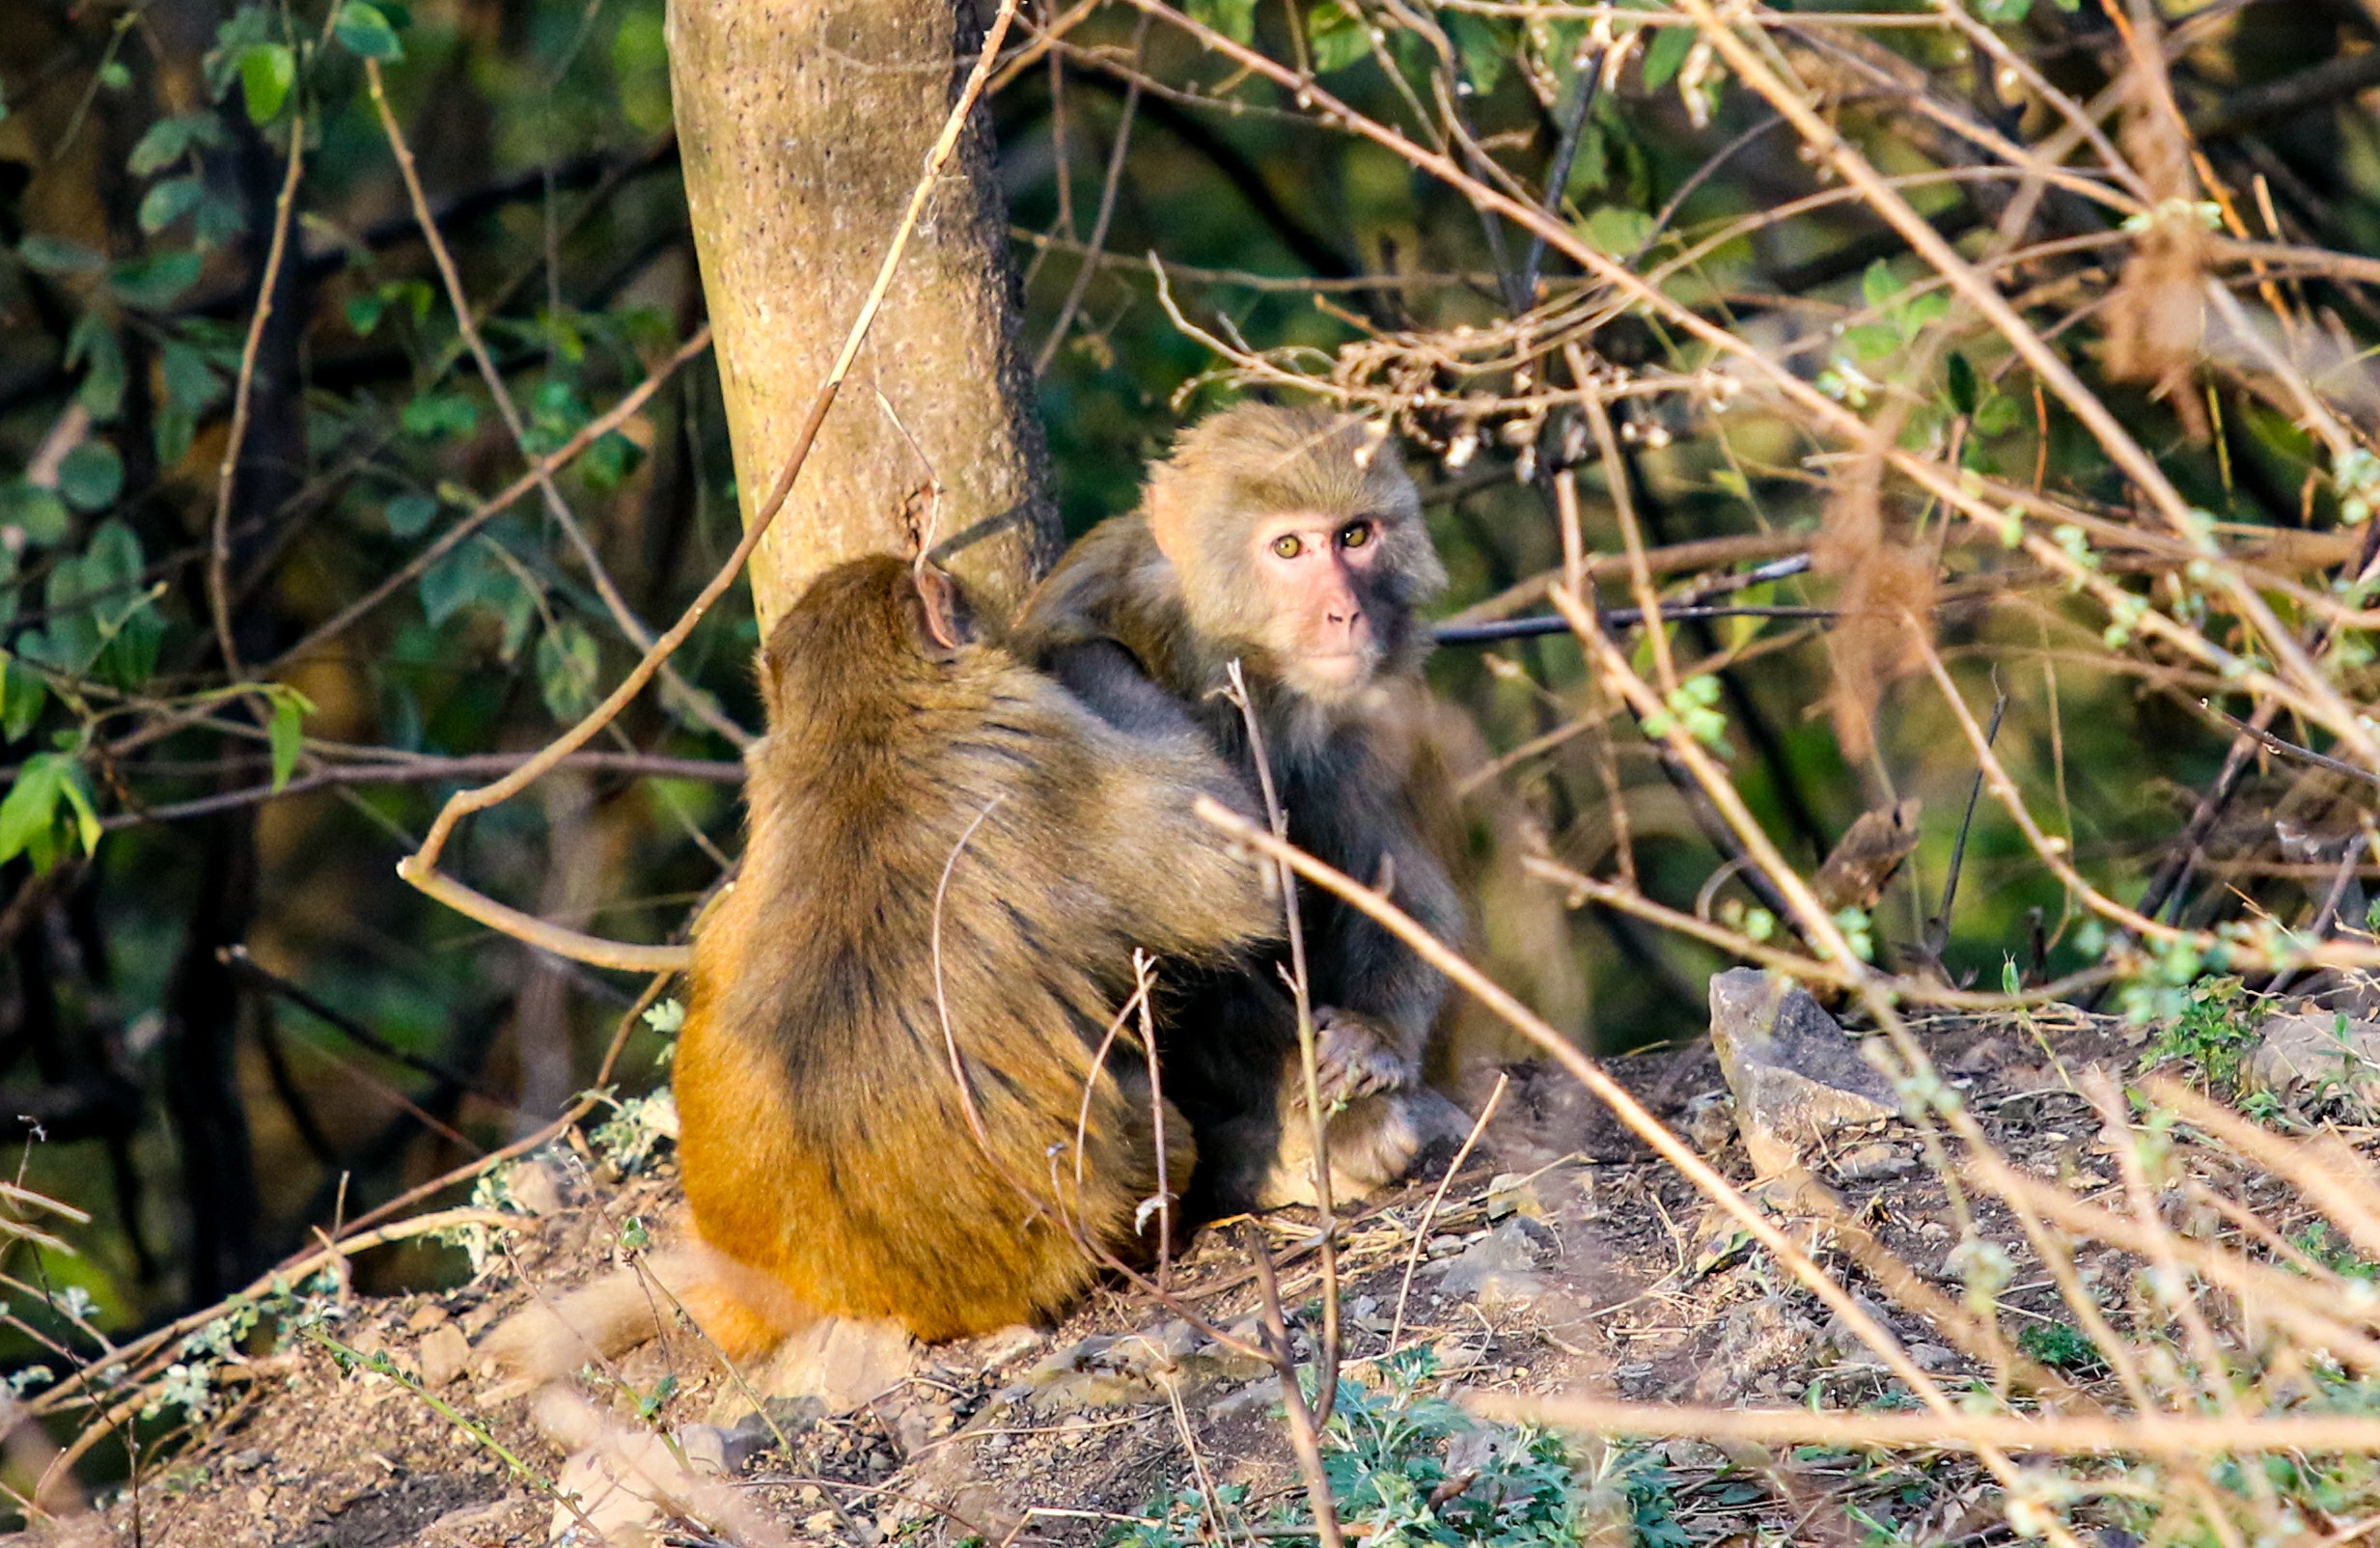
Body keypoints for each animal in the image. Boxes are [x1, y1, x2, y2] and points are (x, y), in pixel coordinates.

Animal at [1013, 395, 1475, 1204]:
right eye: (1288, 548)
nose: (1345, 612)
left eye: (1354, 537)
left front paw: (1374, 1038)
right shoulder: (1084, 659)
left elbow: (1402, 883)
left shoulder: (1363, 708)